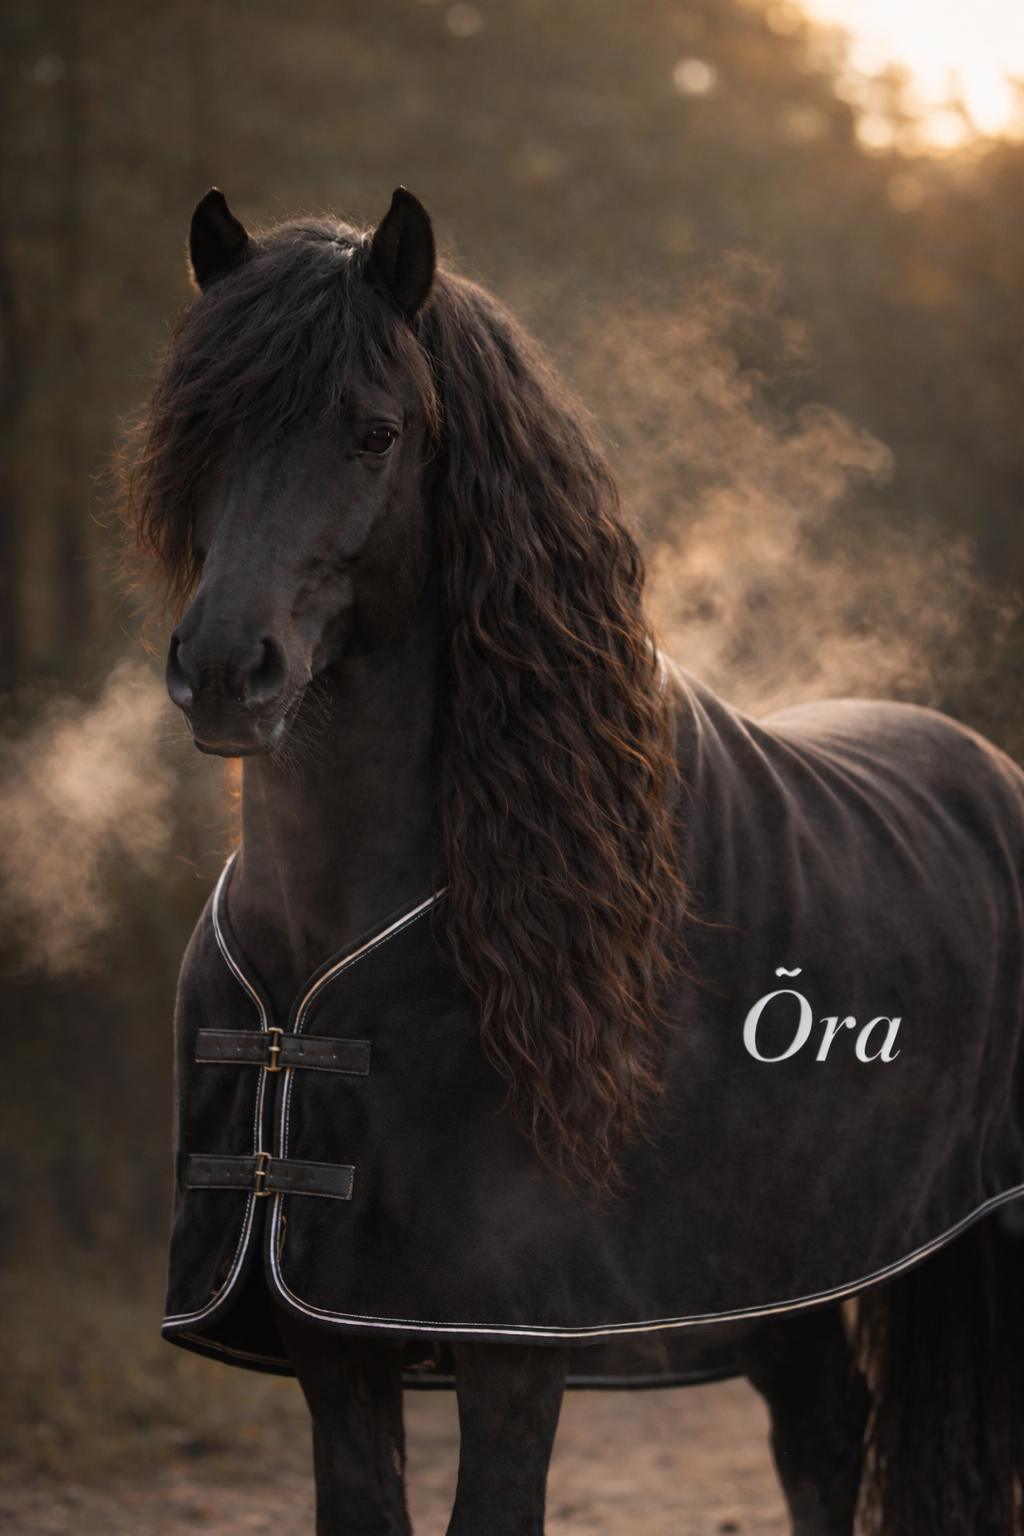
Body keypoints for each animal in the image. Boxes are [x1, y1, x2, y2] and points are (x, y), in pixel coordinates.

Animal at [124, 186, 1024, 1536]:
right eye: (197, 425)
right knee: (822, 1439)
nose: (229, 668)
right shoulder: (332, 1338)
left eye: (375, 432)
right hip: (788, 1273)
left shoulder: (513, 1346)